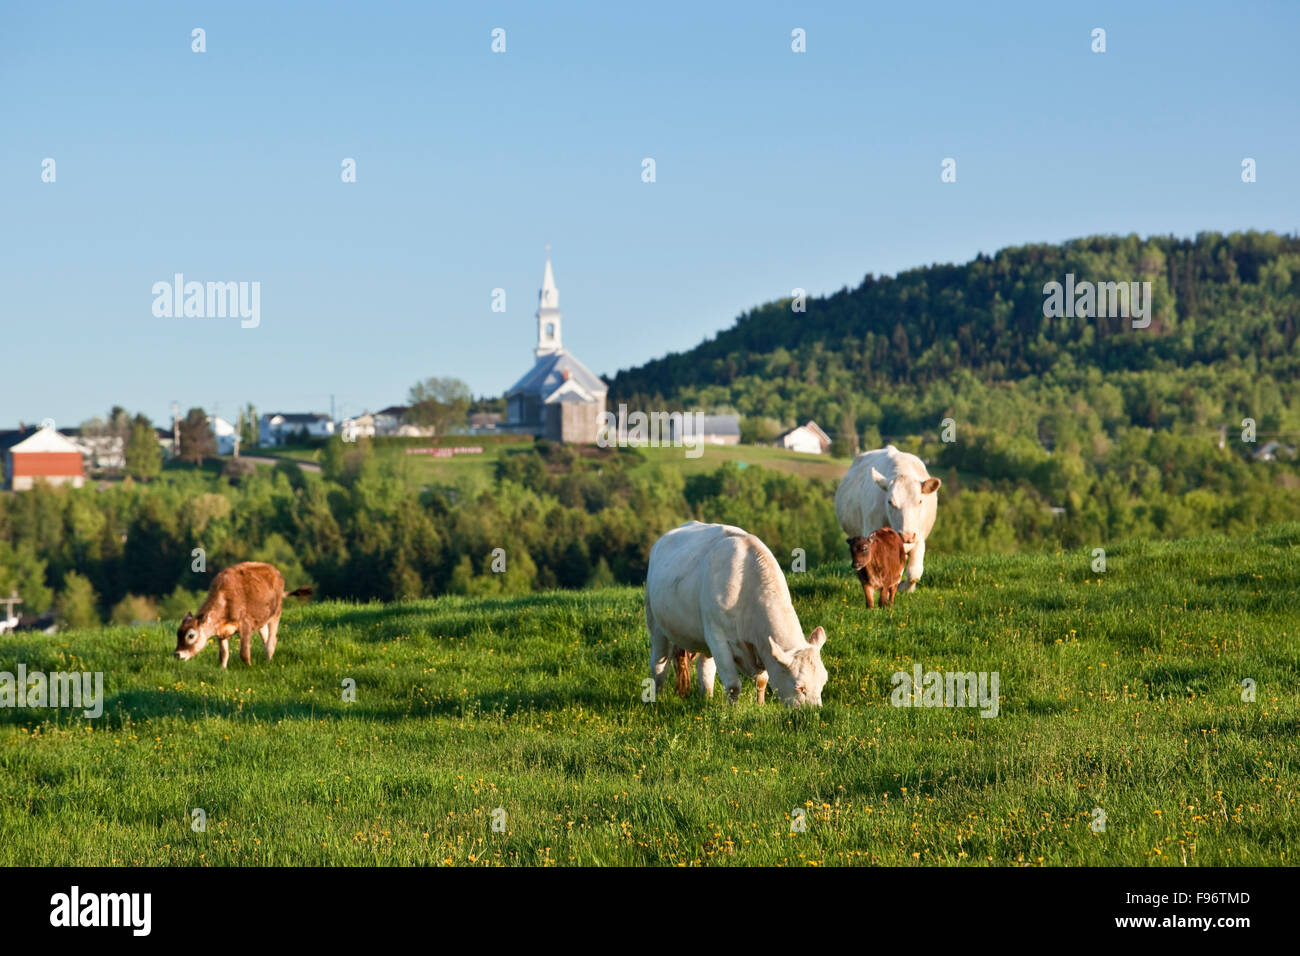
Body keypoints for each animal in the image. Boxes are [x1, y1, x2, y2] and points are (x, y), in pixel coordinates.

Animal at [175, 556, 312, 671]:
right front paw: (222, 670)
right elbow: (224, 654)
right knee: (267, 639)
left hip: (275, 614)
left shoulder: (245, 626)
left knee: (271, 642)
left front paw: (250, 668)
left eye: (191, 635)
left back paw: (268, 663)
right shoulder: (223, 632)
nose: (177, 654)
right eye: (178, 634)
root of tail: (276, 573)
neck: (224, 598)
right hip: (261, 622)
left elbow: (244, 653)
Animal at [644, 520, 826, 707]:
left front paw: (760, 705)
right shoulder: (717, 637)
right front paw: (734, 709)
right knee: (659, 666)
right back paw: (657, 699)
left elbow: (762, 680)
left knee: (704, 668)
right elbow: (733, 685)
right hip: (655, 623)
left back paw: (707, 697)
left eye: (823, 682)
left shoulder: (761, 645)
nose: (814, 711)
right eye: (799, 687)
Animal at [837, 447, 941, 590]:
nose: (907, 536)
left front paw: (905, 588)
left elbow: (914, 572)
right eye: (890, 502)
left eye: (920, 501)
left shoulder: (919, 538)